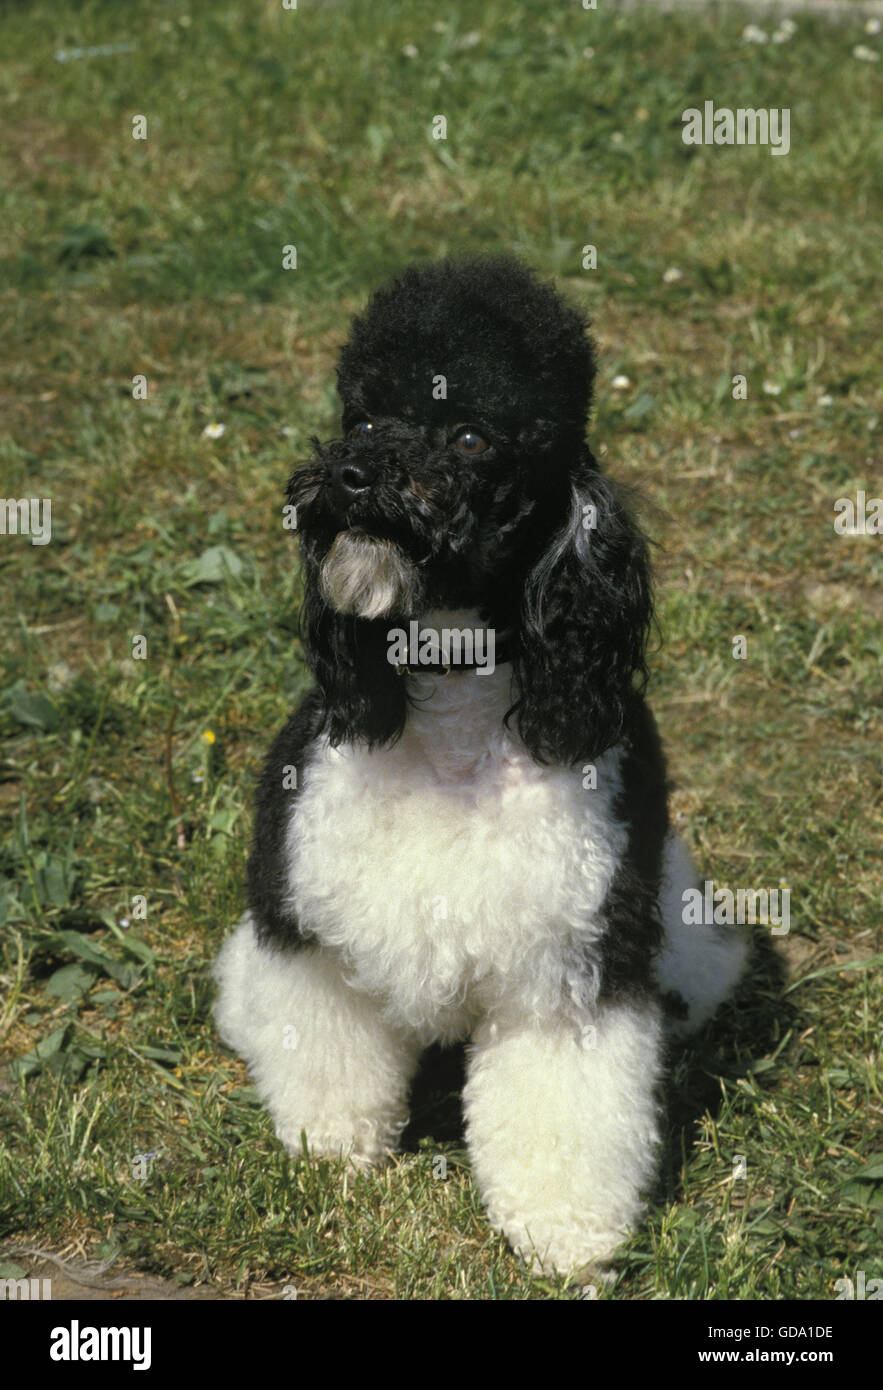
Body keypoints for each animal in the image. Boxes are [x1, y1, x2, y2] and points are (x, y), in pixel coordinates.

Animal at [212, 255, 745, 1273]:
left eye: (468, 436)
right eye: (363, 420)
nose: (347, 478)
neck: (453, 716)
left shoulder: (571, 972)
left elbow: (564, 1107)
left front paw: (565, 1237)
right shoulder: (310, 928)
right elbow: (328, 1053)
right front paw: (331, 1148)